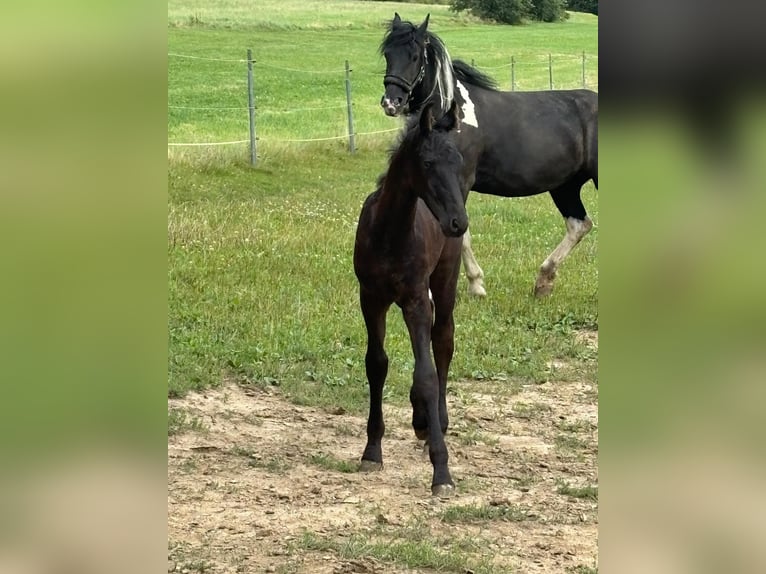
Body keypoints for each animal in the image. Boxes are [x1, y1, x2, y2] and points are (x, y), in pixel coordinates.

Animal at [384, 14, 600, 296]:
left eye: (415, 56)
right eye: (387, 53)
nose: (391, 102)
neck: (451, 116)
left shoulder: (460, 181)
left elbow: (460, 233)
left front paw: (476, 285)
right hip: (565, 186)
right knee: (579, 225)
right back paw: (543, 281)